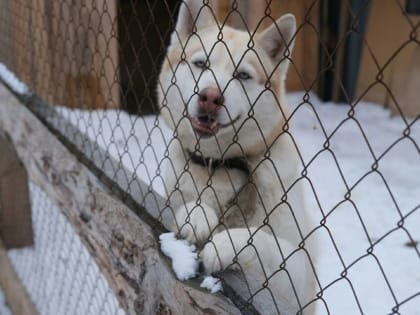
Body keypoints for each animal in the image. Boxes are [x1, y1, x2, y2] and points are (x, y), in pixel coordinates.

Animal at [158, 1, 318, 314]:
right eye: (201, 64)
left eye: (243, 75)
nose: (210, 97)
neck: (219, 165)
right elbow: (190, 207)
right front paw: (197, 216)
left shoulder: (295, 273)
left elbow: (261, 240)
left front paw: (224, 245)